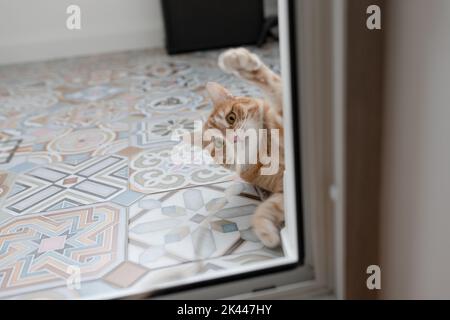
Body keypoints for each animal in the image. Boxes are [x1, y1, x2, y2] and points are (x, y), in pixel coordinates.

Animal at [204, 47, 284, 249]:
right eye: (219, 143)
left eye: (231, 118)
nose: (233, 138)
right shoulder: (283, 187)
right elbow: (270, 206)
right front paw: (266, 231)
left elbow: (273, 85)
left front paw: (239, 61)